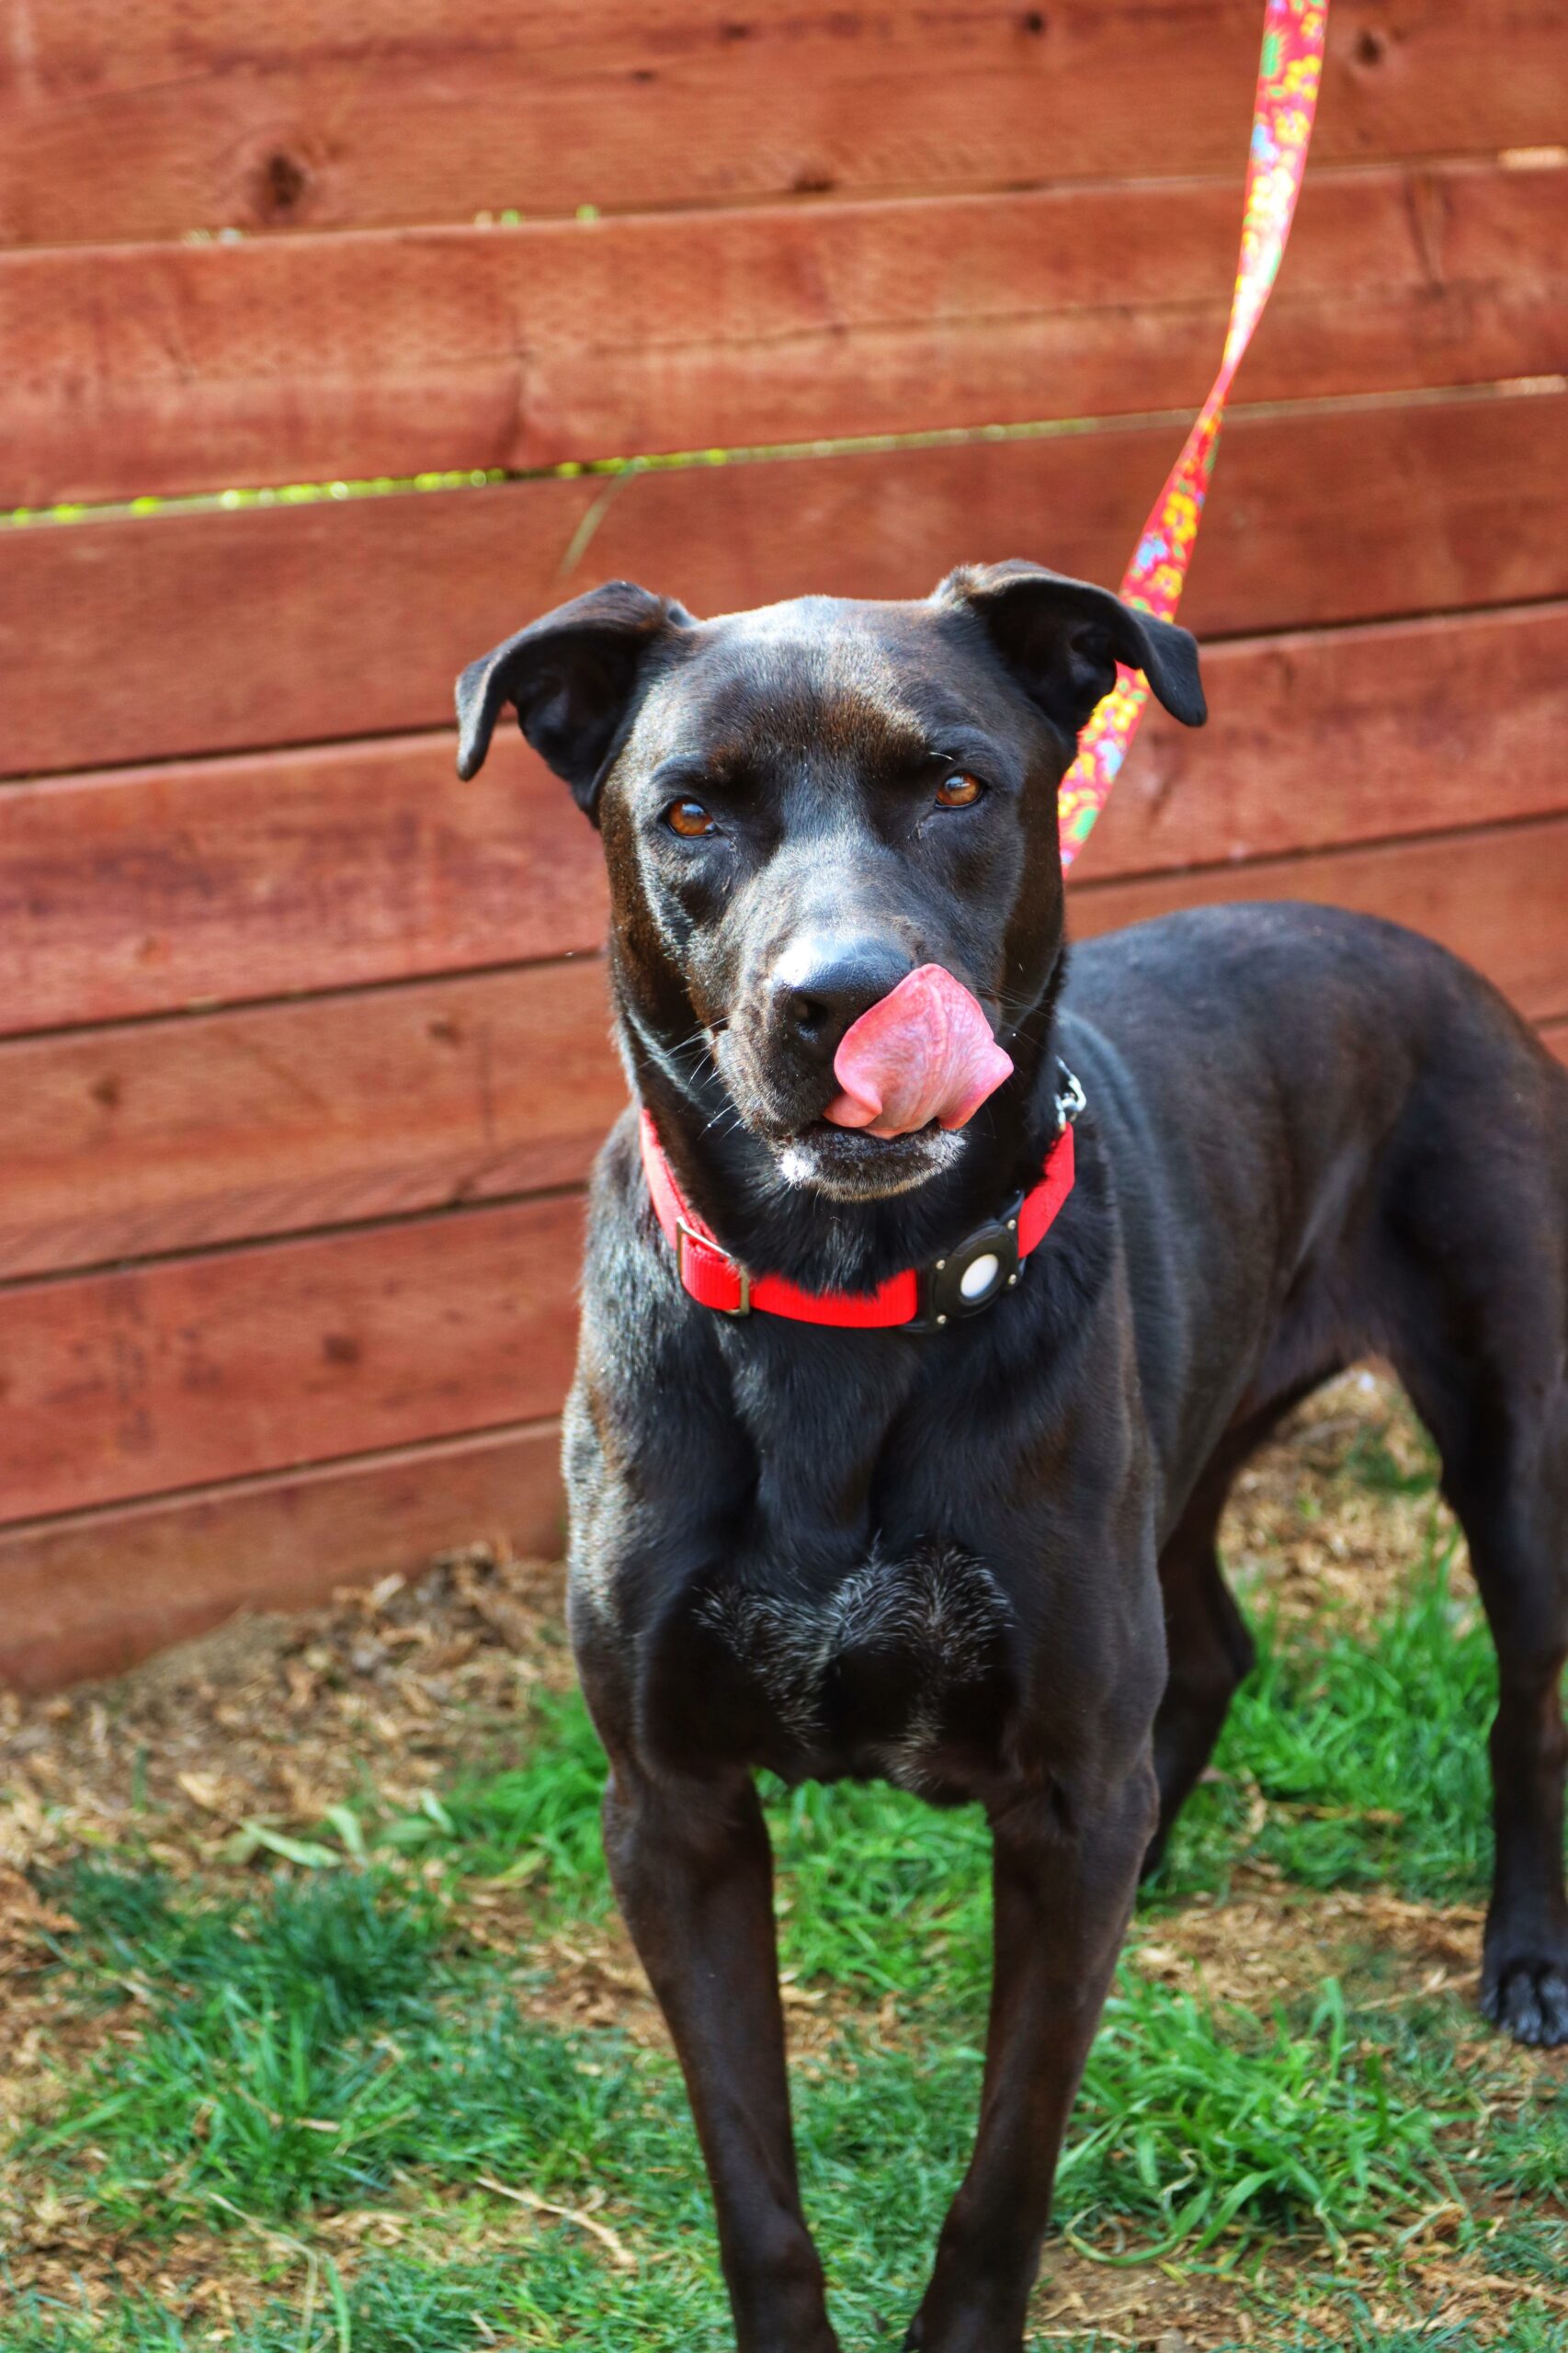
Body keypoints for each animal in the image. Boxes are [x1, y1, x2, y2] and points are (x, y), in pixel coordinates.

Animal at [451, 569, 1562, 2353]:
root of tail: (1415, 947)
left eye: (958, 785)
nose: (841, 999)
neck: (841, 1299)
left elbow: (1005, 2171)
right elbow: (755, 2191)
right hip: (1174, 1470)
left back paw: (1523, 1954)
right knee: (1209, 1654)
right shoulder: (671, 1813)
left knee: (1521, 1703)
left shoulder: (1046, 1786)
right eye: (689, 812)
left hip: (1509, 1444)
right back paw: (1159, 1857)